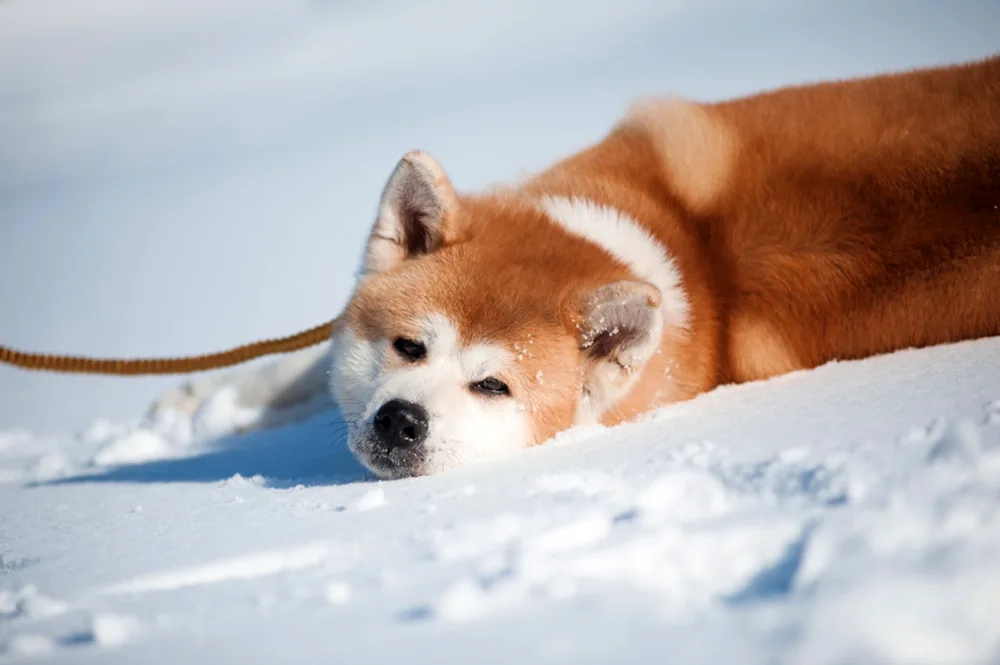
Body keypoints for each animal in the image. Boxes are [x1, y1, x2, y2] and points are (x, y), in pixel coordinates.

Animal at [152, 54, 1000, 474]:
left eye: (494, 385)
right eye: (408, 346)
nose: (401, 418)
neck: (695, 248)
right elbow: (296, 364)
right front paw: (198, 402)